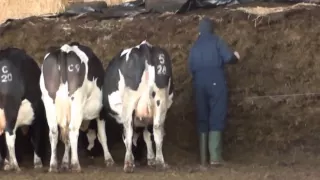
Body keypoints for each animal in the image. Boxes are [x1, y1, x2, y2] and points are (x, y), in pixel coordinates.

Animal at [39, 42, 114, 173]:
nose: (92, 153)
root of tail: (64, 50)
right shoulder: (101, 112)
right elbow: (102, 135)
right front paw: (109, 159)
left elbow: (66, 139)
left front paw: (64, 163)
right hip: (77, 101)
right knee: (73, 130)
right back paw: (75, 164)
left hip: (49, 101)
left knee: (54, 132)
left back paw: (53, 165)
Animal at [103, 40, 174, 173]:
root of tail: (144, 47)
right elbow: (147, 136)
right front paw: (151, 159)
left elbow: (127, 138)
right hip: (160, 100)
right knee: (157, 129)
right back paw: (160, 163)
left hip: (129, 102)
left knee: (129, 132)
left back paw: (128, 164)